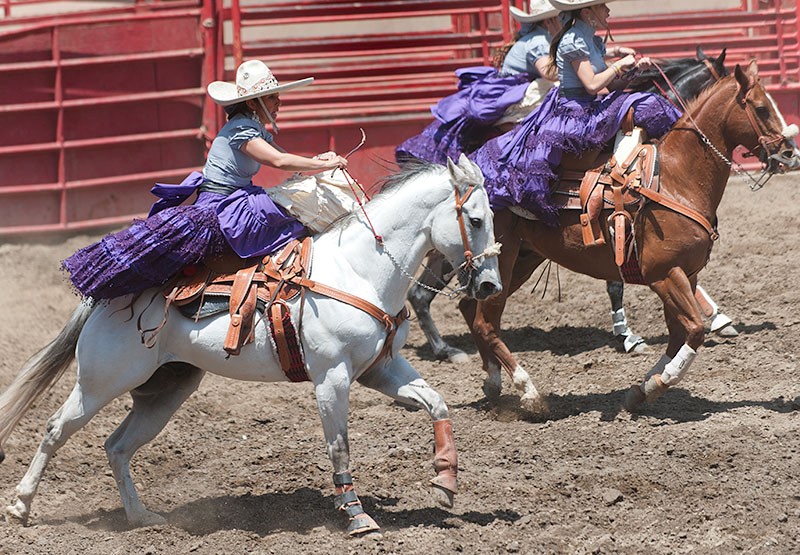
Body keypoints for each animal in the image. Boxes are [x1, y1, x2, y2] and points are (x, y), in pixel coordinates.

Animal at [0, 154, 500, 536]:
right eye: (475, 219)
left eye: (495, 218)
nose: (490, 285)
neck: (358, 270)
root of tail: (103, 297)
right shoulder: (331, 378)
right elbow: (339, 446)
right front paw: (357, 517)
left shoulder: (382, 369)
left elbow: (437, 403)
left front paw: (445, 480)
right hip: (102, 381)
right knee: (56, 428)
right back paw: (21, 506)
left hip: (166, 390)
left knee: (117, 446)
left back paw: (142, 517)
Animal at [462, 62, 800, 416]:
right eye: (761, 108)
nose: (790, 153)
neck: (677, 179)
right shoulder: (663, 274)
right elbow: (694, 330)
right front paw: (658, 383)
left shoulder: (688, 275)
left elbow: (679, 334)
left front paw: (641, 390)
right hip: (503, 257)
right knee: (485, 322)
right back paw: (529, 393)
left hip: (523, 260)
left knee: (470, 308)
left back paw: (493, 382)